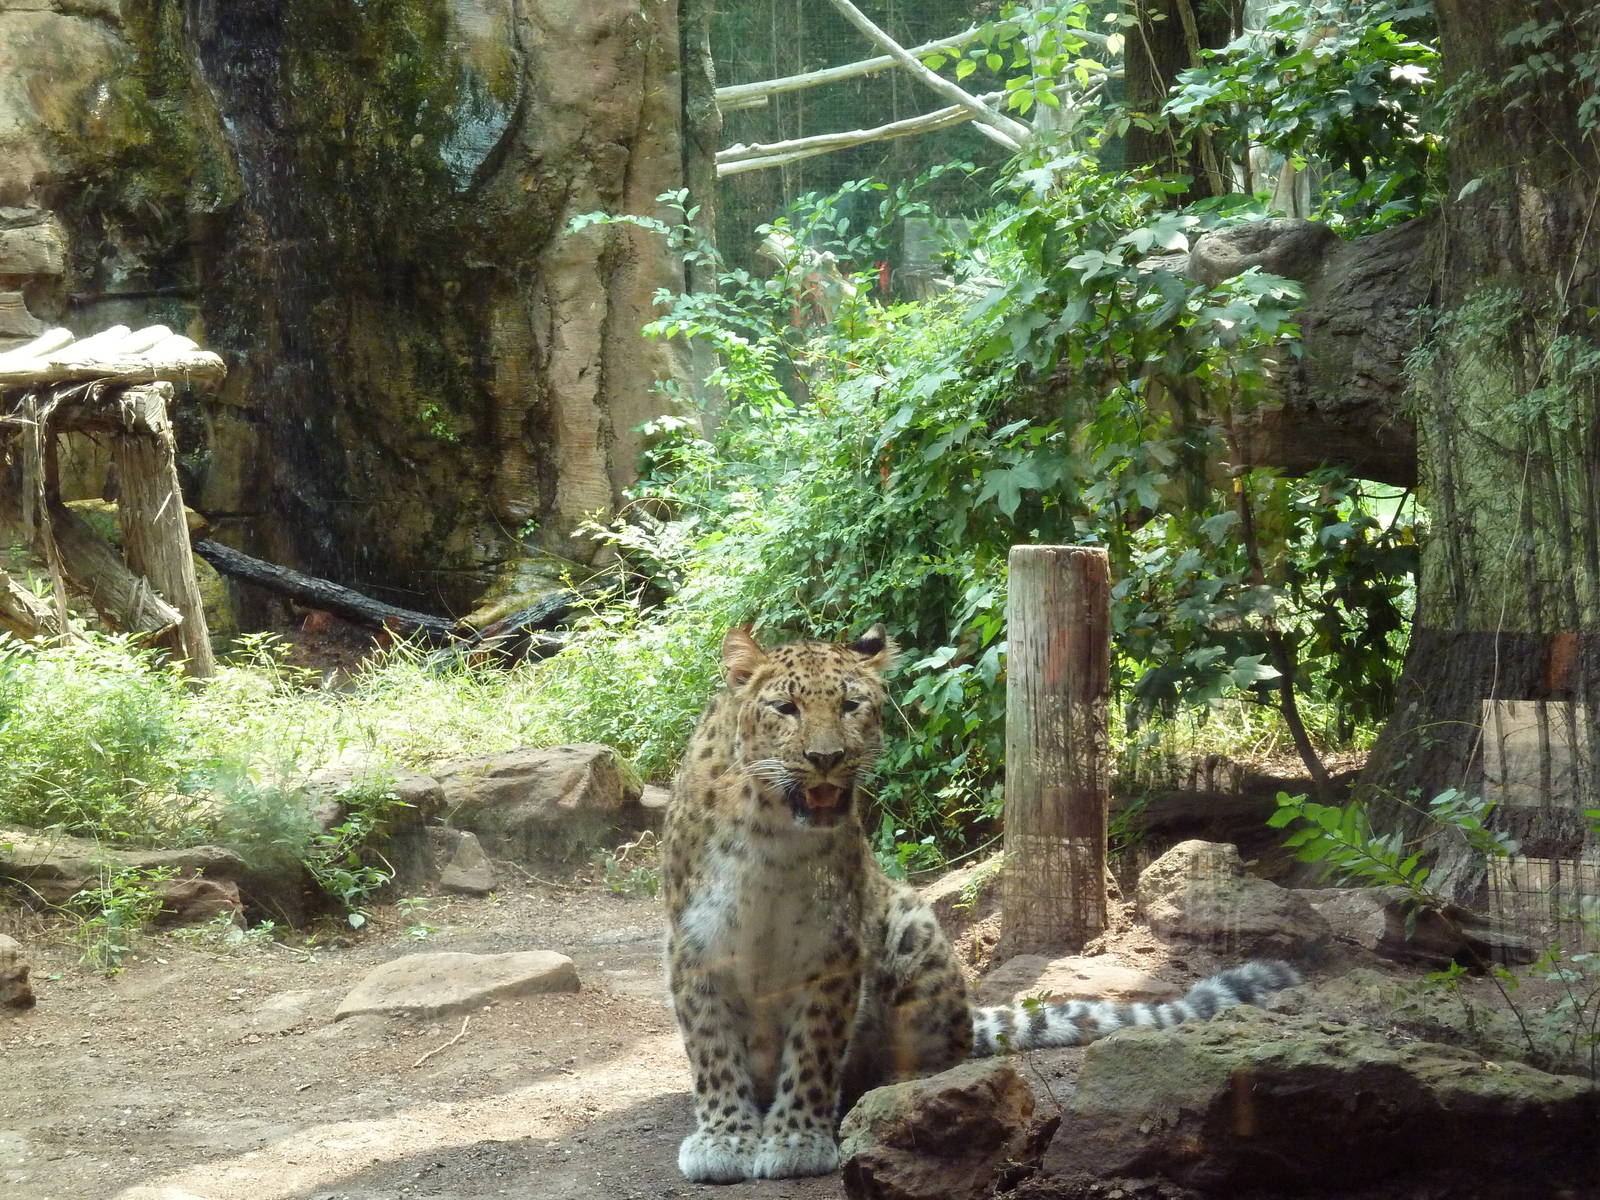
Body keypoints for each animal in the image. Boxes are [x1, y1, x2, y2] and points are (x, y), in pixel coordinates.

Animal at [662, 624, 1300, 1183]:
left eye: (849, 704)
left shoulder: (833, 948)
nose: (826, 757)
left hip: (914, 929)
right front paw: (726, 1139)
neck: (771, 837)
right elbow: (712, 1048)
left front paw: (795, 1137)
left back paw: (890, 1094)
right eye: (785, 708)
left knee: (937, 1058)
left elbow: (813, 1052)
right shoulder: (695, 945)